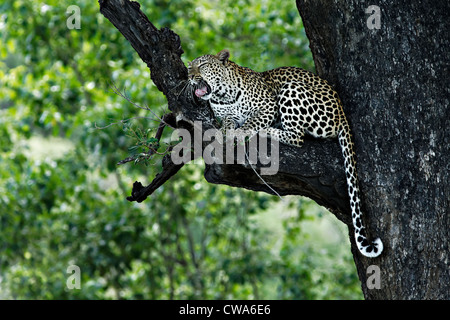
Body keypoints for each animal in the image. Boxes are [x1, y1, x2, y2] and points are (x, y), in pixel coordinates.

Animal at [186, 49, 384, 258]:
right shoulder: (227, 115)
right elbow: (228, 123)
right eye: (189, 67)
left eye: (203, 65)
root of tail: (341, 112)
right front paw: (225, 132)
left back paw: (267, 131)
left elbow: (251, 122)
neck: (222, 96)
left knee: (297, 136)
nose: (190, 76)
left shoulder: (268, 105)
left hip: (292, 90)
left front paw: (241, 133)